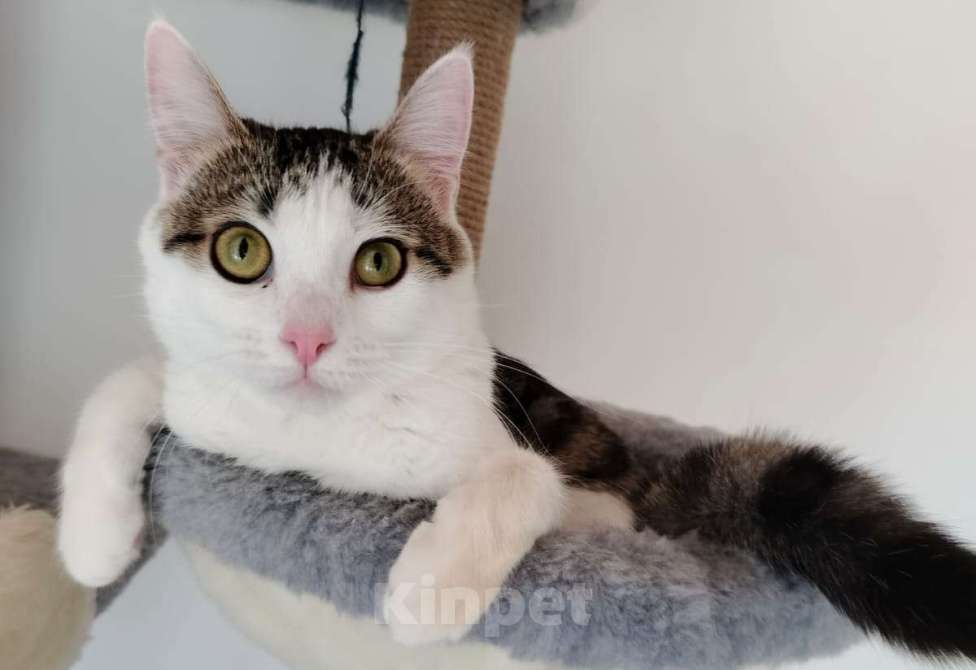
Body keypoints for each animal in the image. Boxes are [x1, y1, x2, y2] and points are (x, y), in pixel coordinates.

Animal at [58, 20, 976, 659]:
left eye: (379, 262)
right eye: (242, 251)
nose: (307, 341)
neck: (312, 447)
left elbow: (526, 475)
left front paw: (428, 591)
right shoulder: (209, 406)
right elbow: (133, 379)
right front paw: (92, 538)